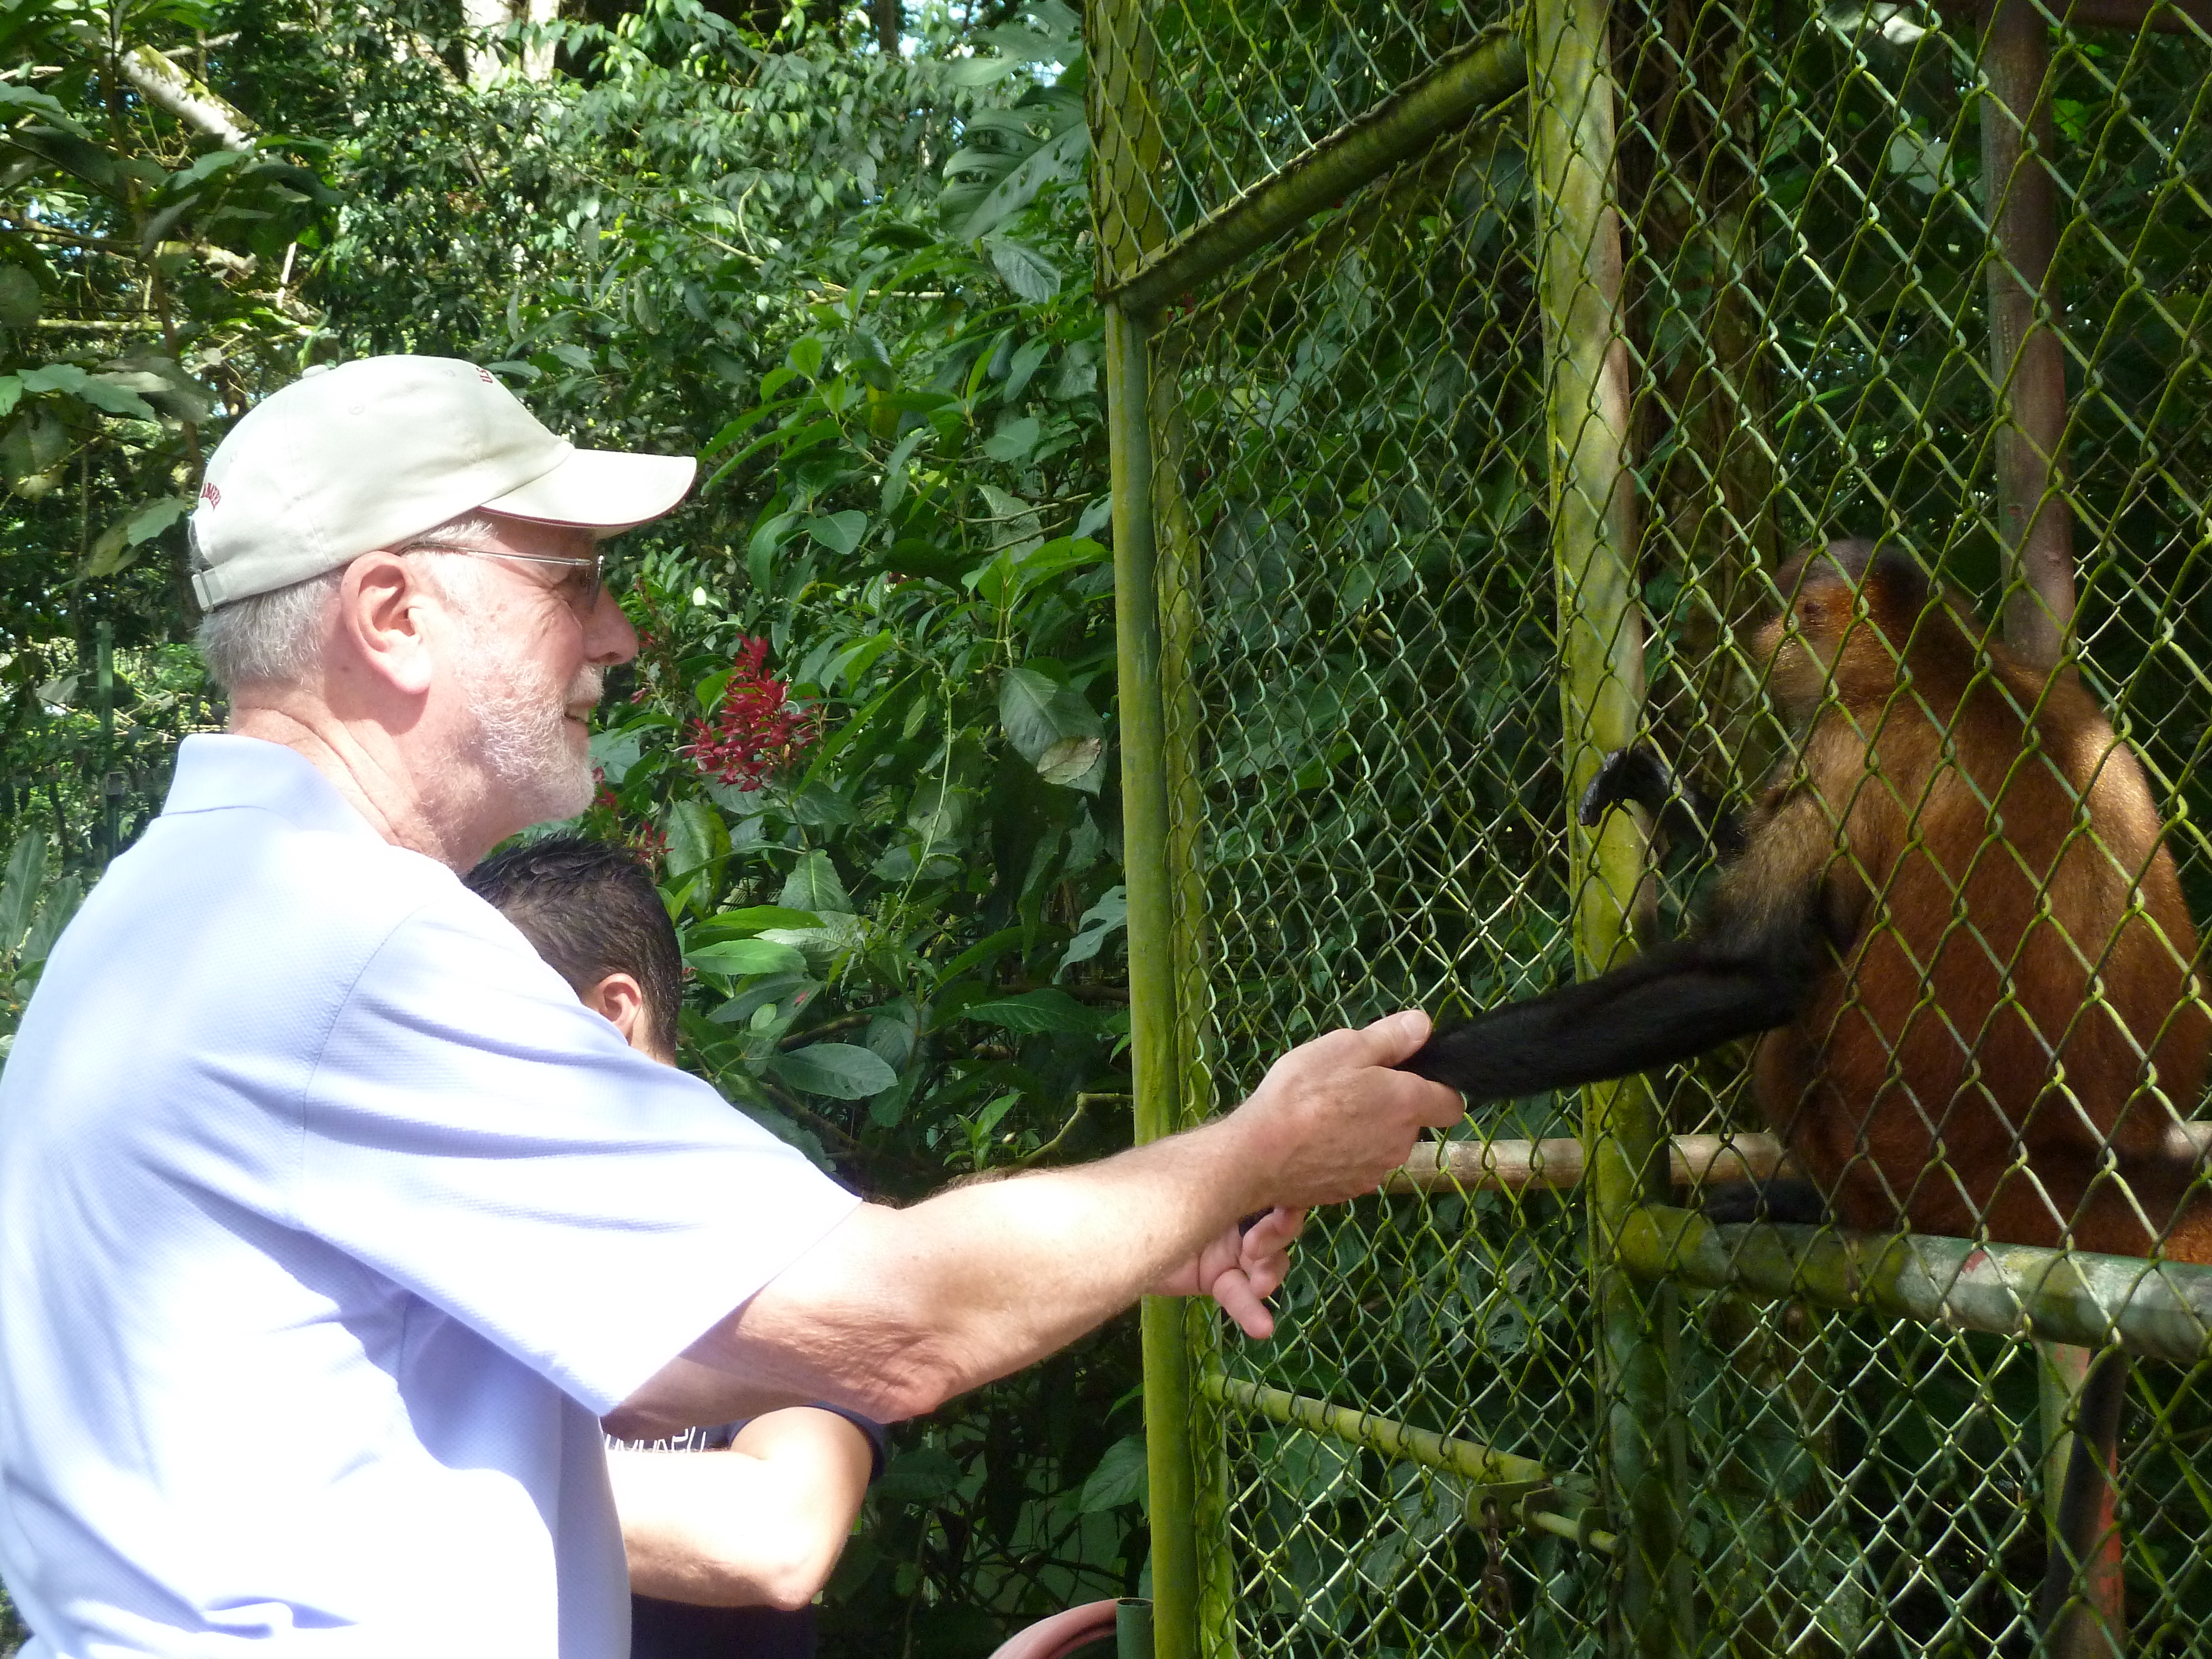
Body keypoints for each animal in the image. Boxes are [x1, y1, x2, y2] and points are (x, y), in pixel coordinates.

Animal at [1397, 540, 2210, 1646]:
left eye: (1781, 619)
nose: (1752, 642)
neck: (1956, 665)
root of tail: (2107, 1163)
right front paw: (1665, 789)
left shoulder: (1845, 748)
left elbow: (1756, 974)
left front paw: (1412, 1071)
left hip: (1884, 1143)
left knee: (1800, 1008)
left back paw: (1809, 1203)